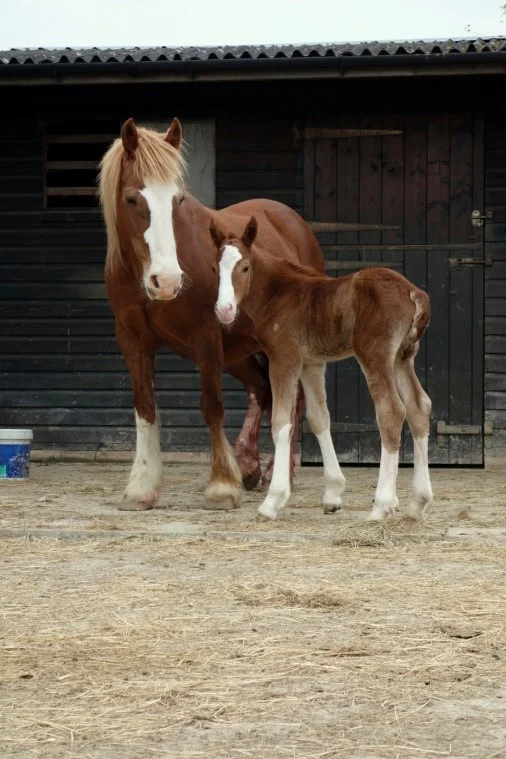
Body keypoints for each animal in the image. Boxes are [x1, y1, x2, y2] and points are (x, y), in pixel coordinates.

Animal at [98, 118, 324, 510]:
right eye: (131, 198)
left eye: (177, 200)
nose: (167, 281)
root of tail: (294, 223)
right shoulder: (132, 340)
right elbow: (145, 407)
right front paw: (141, 487)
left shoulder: (205, 337)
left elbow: (212, 406)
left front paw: (221, 486)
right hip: (238, 350)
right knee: (261, 390)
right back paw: (249, 465)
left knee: (291, 401)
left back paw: (277, 474)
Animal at [210, 215, 433, 522]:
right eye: (214, 268)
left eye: (244, 267)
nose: (224, 310)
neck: (277, 294)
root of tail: (414, 292)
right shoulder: (312, 364)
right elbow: (318, 418)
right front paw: (333, 494)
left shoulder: (284, 358)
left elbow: (282, 421)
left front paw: (273, 501)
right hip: (403, 357)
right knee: (418, 407)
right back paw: (417, 502)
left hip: (375, 354)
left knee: (391, 410)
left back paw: (381, 505)